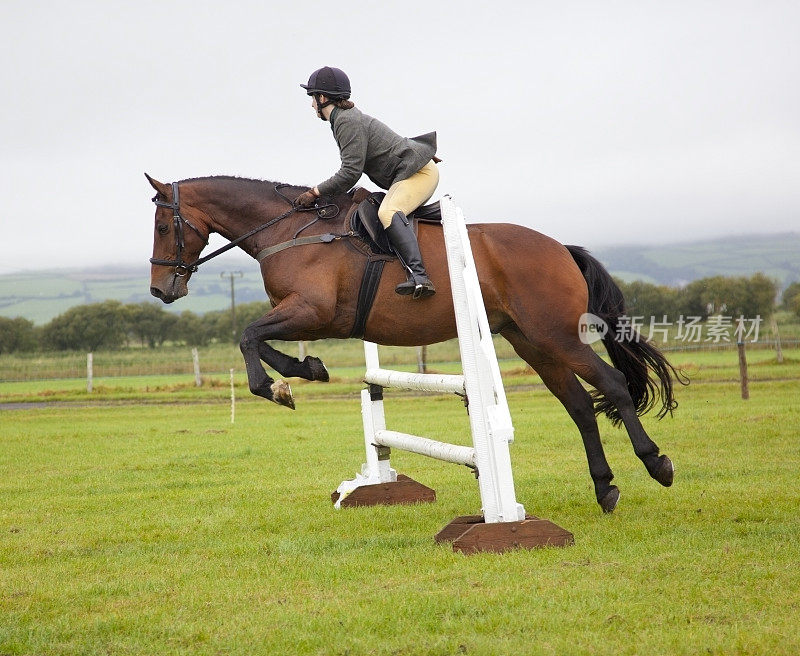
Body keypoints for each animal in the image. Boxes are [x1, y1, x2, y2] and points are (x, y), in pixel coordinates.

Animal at [144, 173, 680, 512]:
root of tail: (560, 248)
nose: (160, 290)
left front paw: (277, 388)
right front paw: (306, 373)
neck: (290, 230)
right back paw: (604, 488)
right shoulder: (305, 317)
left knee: (611, 384)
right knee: (579, 405)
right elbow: (262, 342)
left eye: (164, 225)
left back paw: (657, 464)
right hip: (531, 342)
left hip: (556, 335)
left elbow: (249, 337)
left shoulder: (312, 312)